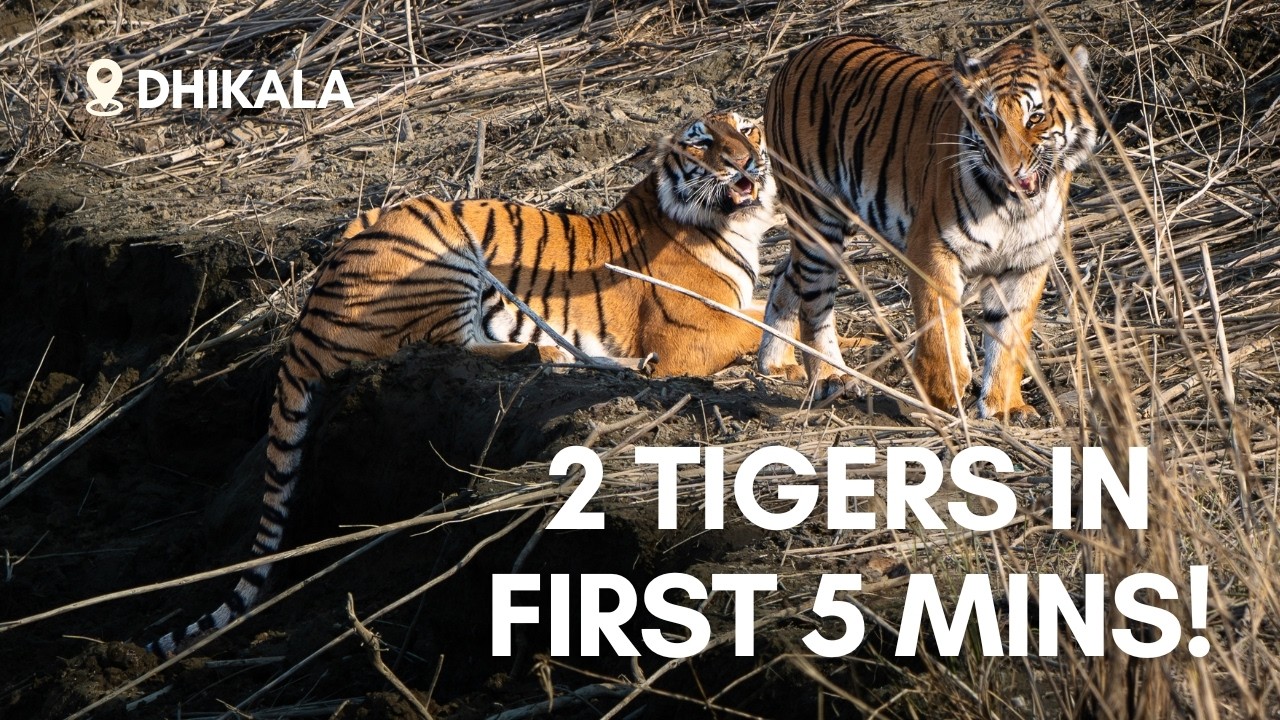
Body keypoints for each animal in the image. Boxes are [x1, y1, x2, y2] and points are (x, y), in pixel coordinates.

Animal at [147, 110, 776, 656]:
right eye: (702, 142)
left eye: (747, 129)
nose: (745, 159)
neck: (728, 224)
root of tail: (305, 315)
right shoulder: (688, 338)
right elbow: (760, 327)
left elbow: (770, 313)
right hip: (441, 252)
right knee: (453, 345)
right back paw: (578, 357)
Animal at [755, 35, 1097, 421]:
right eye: (988, 120)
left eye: (1035, 117)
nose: (1009, 169)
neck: (1014, 210)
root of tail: (796, 56)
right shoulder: (933, 248)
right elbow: (941, 332)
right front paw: (942, 398)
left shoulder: (1026, 263)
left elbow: (1010, 340)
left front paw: (1004, 407)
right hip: (817, 217)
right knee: (814, 301)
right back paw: (830, 376)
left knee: (784, 271)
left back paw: (775, 362)